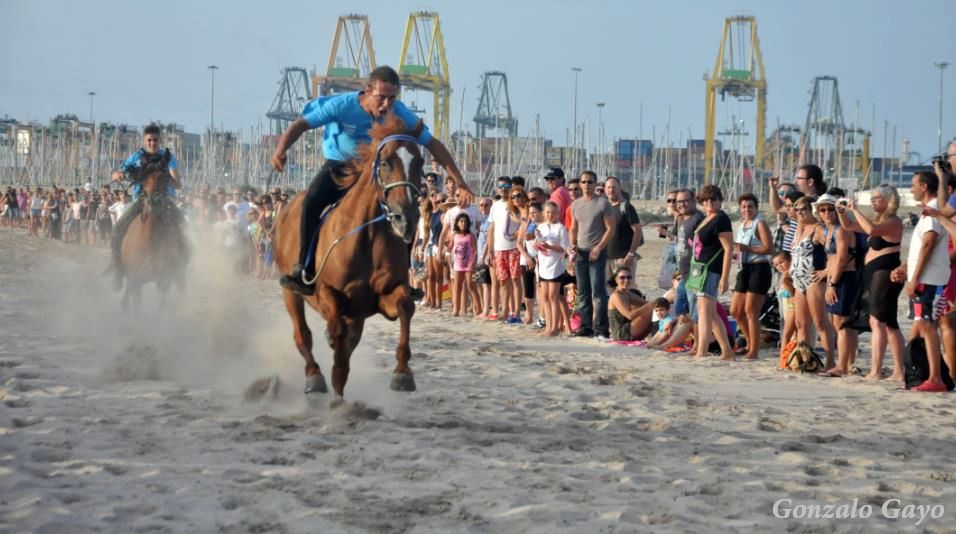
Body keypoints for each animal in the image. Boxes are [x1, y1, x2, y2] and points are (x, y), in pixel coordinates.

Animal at [118, 151, 188, 310]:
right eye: (144, 177)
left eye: (166, 176)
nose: (154, 202)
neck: (150, 242)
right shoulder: (135, 282)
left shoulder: (164, 282)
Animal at [276, 116, 426, 402]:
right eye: (385, 162)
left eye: (420, 163)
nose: (406, 218)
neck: (367, 236)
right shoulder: (326, 292)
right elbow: (335, 332)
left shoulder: (381, 298)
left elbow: (405, 306)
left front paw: (402, 374)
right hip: (291, 293)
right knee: (302, 335)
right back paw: (315, 376)